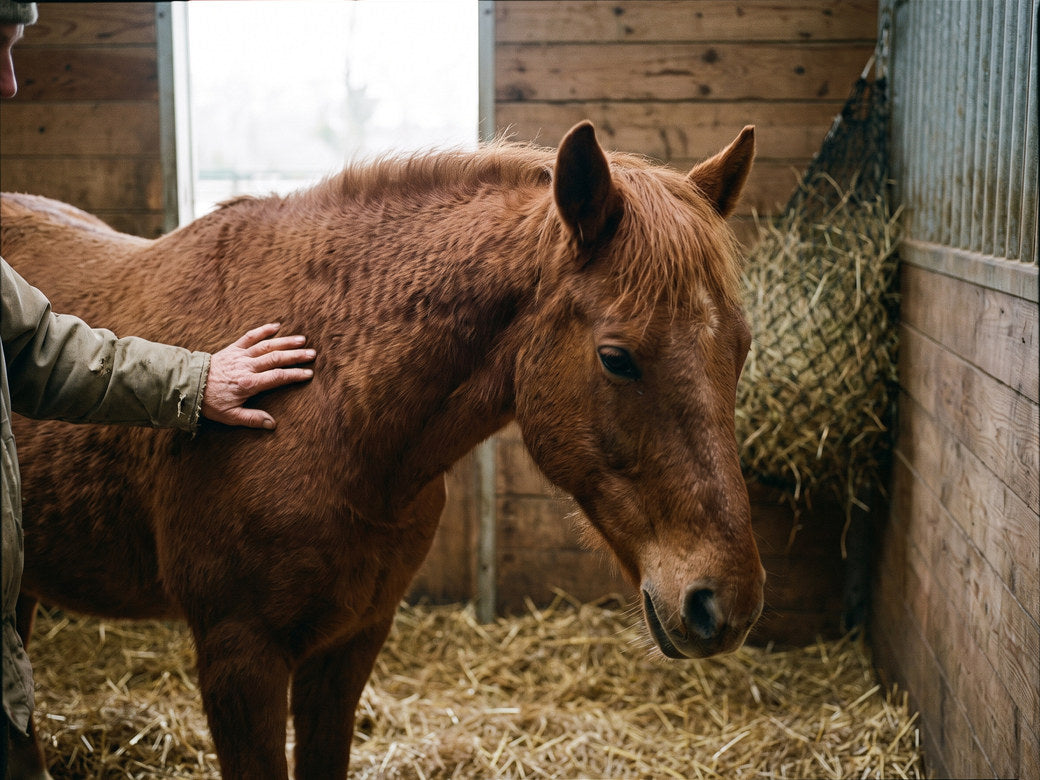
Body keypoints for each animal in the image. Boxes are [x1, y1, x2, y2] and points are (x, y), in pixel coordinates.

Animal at [2, 121, 764, 779]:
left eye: (742, 347)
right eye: (616, 358)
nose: (725, 604)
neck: (322, 406)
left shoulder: (350, 643)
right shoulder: (238, 656)